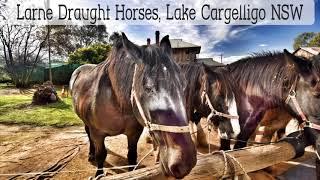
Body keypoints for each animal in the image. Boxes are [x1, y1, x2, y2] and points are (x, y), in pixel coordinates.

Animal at [69, 33, 198, 178]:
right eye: (148, 88)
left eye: (184, 85)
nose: (186, 162)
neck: (118, 103)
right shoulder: (97, 134)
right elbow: (101, 155)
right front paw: (99, 174)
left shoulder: (133, 134)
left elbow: (132, 157)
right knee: (88, 134)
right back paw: (91, 154)